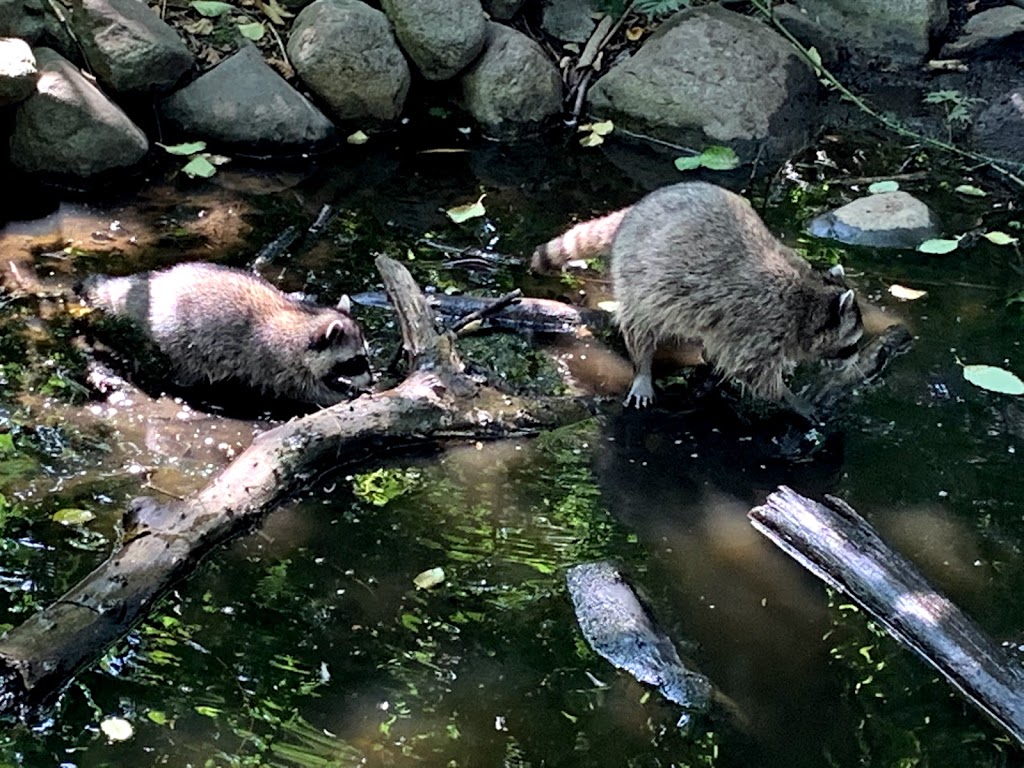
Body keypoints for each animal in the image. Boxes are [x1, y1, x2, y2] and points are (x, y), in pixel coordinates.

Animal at [76, 264, 372, 409]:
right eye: (355, 361)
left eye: (365, 356)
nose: (372, 378)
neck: (305, 319)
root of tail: (156, 285)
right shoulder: (278, 363)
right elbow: (304, 391)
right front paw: (341, 395)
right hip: (179, 335)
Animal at [536, 182, 864, 417]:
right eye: (853, 343)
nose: (857, 361)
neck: (810, 298)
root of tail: (635, 212)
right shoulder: (760, 323)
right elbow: (752, 371)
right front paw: (789, 397)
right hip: (637, 275)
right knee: (639, 323)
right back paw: (643, 366)